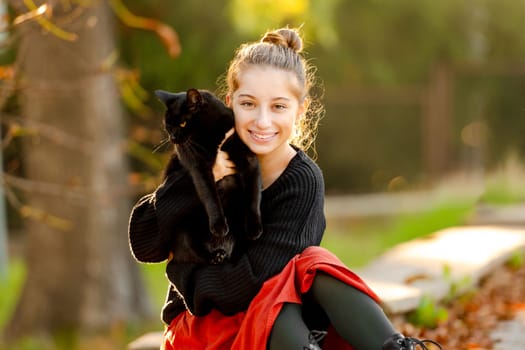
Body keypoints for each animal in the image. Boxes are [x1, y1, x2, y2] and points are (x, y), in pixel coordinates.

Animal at [155, 89, 262, 264]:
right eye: (168, 125)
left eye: (182, 124)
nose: (173, 139)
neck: (210, 133)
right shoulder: (199, 167)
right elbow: (210, 196)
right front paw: (219, 226)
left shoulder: (249, 160)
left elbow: (254, 197)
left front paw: (254, 228)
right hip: (186, 229)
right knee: (195, 253)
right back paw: (216, 255)